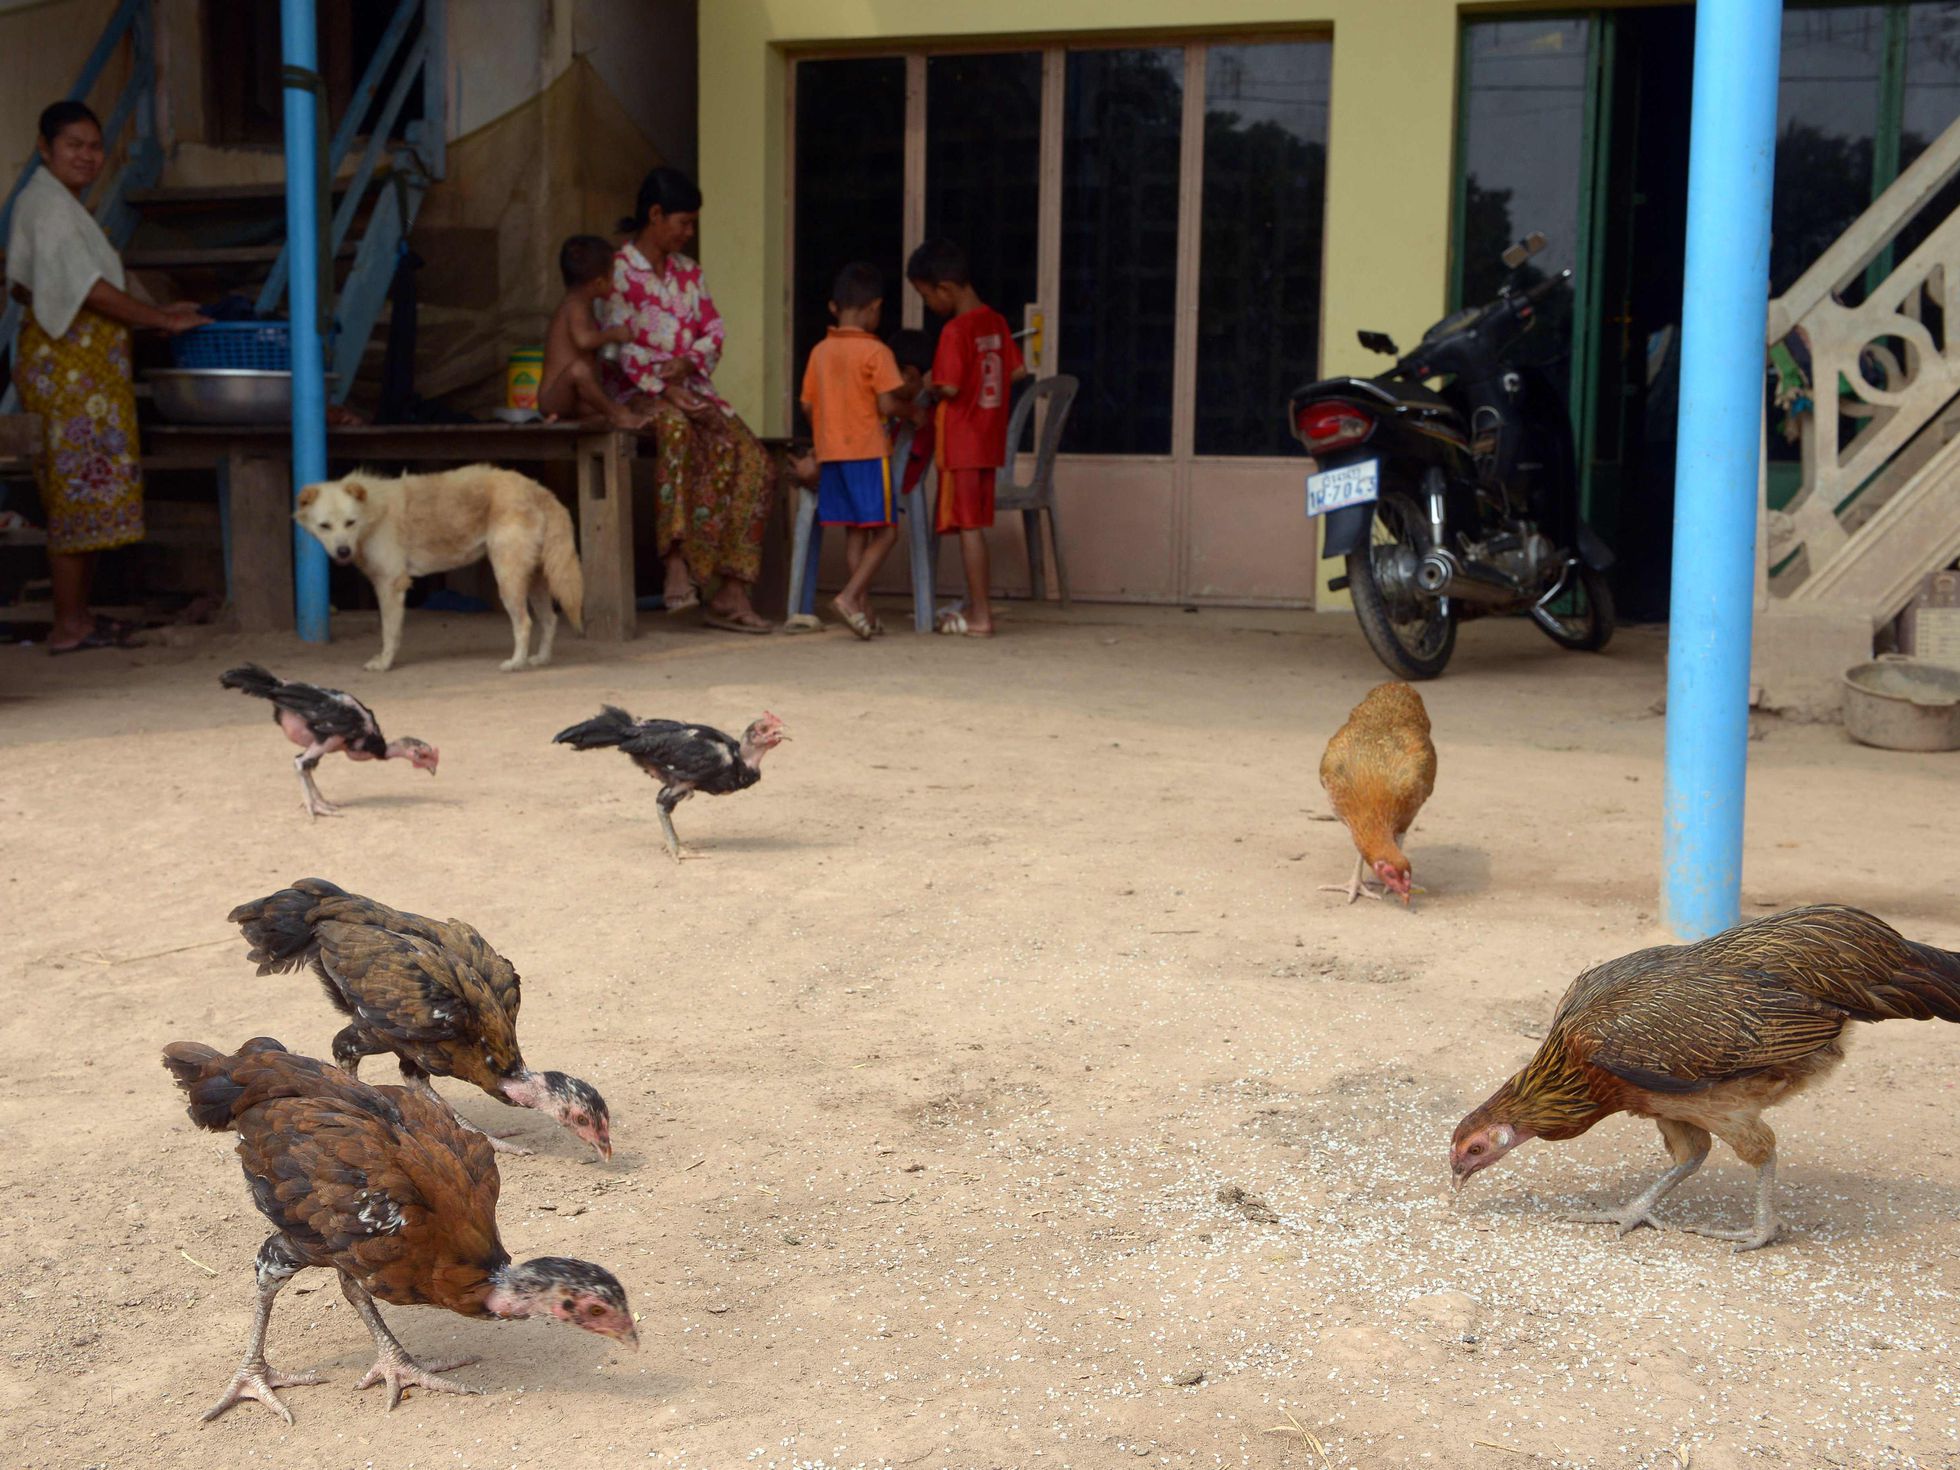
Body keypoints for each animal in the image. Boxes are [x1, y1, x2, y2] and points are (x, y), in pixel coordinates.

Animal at [290, 466, 580, 674]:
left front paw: (385, 663)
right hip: (534, 581)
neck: (372, 511)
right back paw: (541, 659)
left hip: (509, 579)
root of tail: (537, 489)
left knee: (524, 623)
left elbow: (389, 633)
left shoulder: (390, 585)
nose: (342, 552)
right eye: (325, 526)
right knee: (550, 619)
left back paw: (516, 663)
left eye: (350, 523)